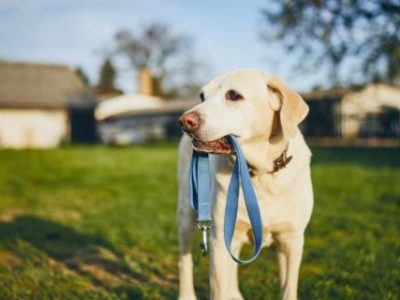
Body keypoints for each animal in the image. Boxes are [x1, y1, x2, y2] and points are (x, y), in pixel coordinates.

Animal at [177, 69, 312, 300]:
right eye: (202, 96)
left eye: (233, 95)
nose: (185, 121)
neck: (259, 174)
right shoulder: (219, 242)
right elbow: (218, 290)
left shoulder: (291, 240)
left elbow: (288, 290)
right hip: (187, 214)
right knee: (185, 261)